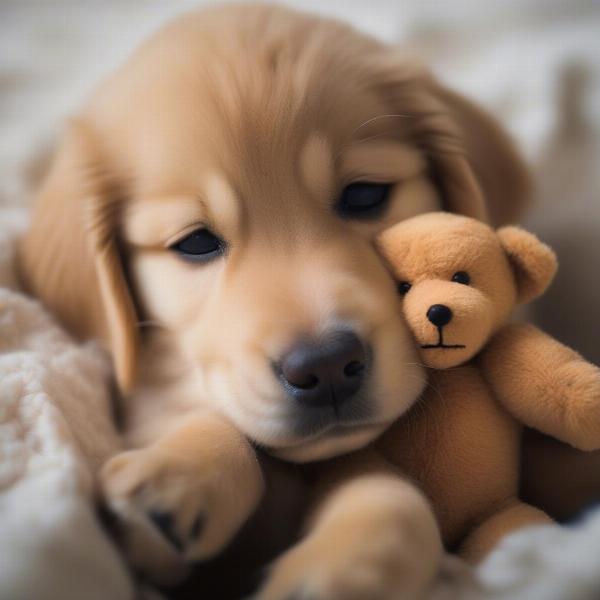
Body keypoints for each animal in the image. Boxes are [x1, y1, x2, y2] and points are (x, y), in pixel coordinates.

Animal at [16, 2, 528, 596]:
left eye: (365, 195)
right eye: (195, 242)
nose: (326, 367)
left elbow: (396, 500)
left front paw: (335, 571)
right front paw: (174, 481)